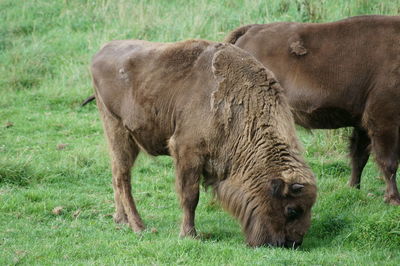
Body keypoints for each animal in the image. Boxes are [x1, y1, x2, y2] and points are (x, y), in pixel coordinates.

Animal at [90, 40, 316, 247]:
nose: (293, 243)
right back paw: (139, 226)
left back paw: (121, 220)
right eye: (292, 210)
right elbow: (190, 197)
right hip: (118, 131)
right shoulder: (187, 152)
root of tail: (101, 52)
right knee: (123, 178)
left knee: (116, 175)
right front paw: (189, 234)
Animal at [225, 14, 400, 205]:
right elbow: (389, 161)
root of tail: (249, 31)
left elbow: (359, 157)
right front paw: (394, 199)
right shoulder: (384, 119)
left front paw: (354, 188)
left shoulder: (362, 122)